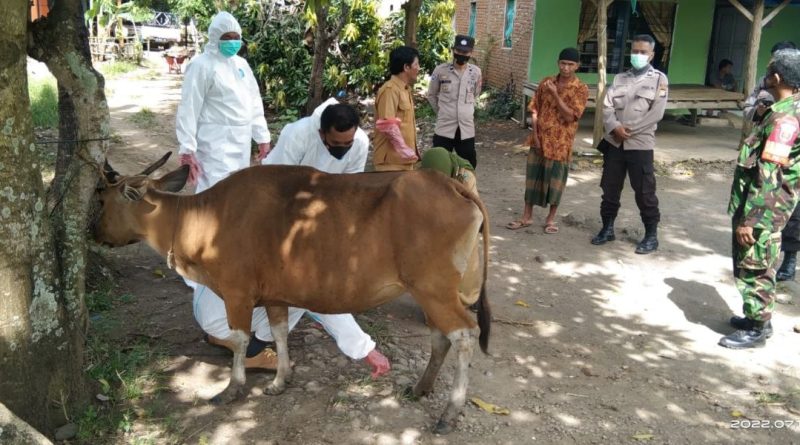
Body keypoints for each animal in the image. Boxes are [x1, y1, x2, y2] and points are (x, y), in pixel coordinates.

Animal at [95, 153, 494, 434]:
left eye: (101, 200)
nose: (92, 232)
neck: (200, 218)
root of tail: (452, 185)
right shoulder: (275, 296)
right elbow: (279, 332)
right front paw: (279, 380)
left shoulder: (237, 293)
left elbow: (239, 340)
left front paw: (233, 387)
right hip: (433, 292)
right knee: (441, 336)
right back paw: (422, 387)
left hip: (434, 289)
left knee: (464, 334)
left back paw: (450, 412)